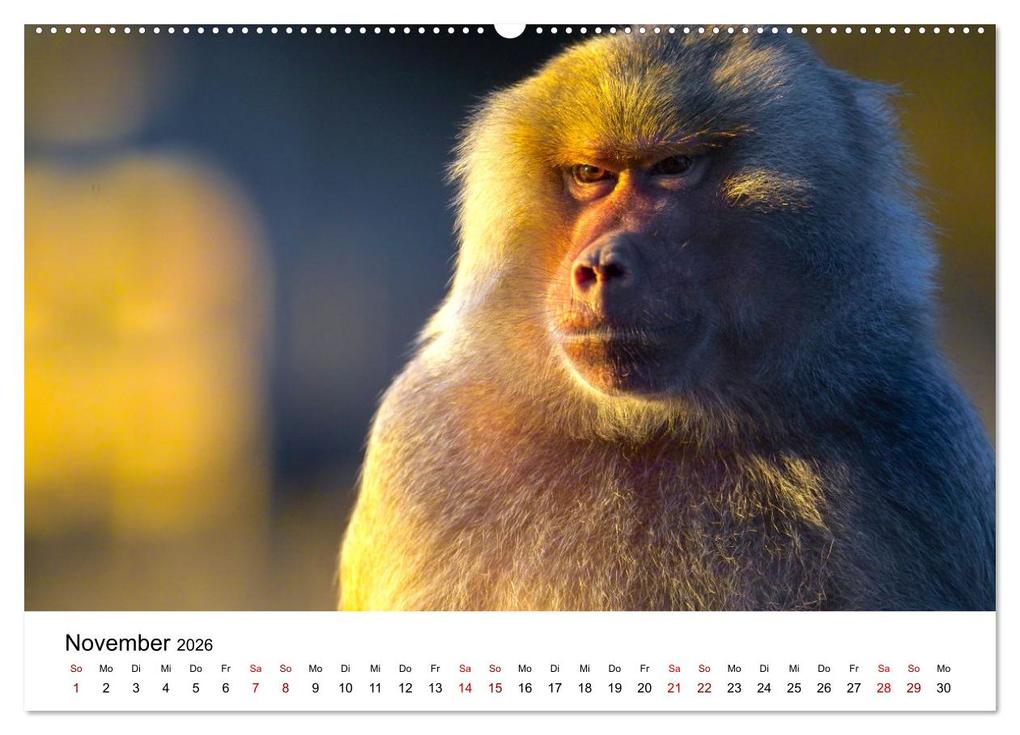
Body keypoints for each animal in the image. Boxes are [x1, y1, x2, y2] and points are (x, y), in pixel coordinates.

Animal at [337, 32, 995, 611]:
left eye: (674, 166)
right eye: (591, 174)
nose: (600, 267)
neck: (650, 431)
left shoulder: (915, 442)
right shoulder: (429, 441)